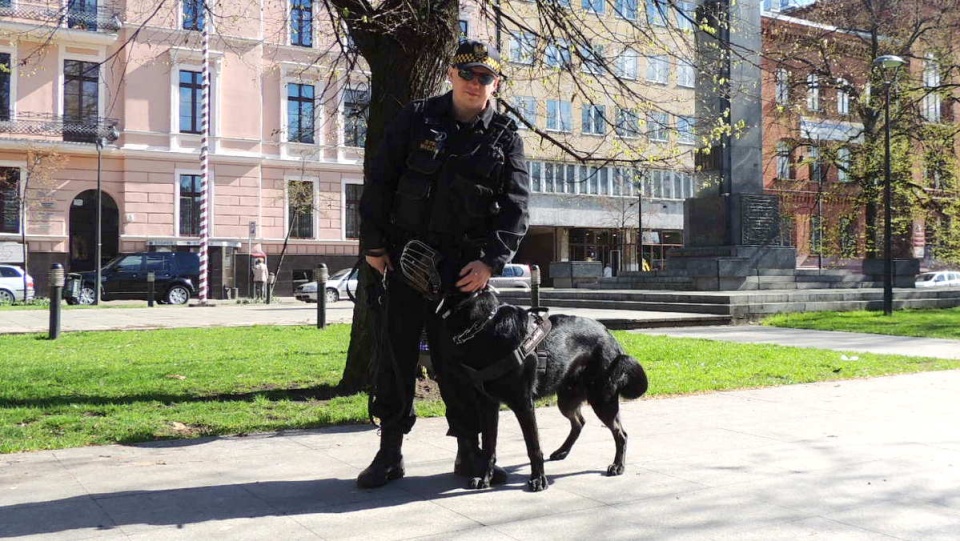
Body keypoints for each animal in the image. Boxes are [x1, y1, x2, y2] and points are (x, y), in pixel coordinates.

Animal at [440, 288, 648, 492]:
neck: (484, 326)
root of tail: (610, 335)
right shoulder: (487, 405)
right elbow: (489, 445)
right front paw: (485, 477)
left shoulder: (524, 404)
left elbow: (533, 446)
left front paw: (538, 479)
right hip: (566, 400)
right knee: (579, 422)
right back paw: (562, 451)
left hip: (602, 399)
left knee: (620, 433)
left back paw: (618, 465)